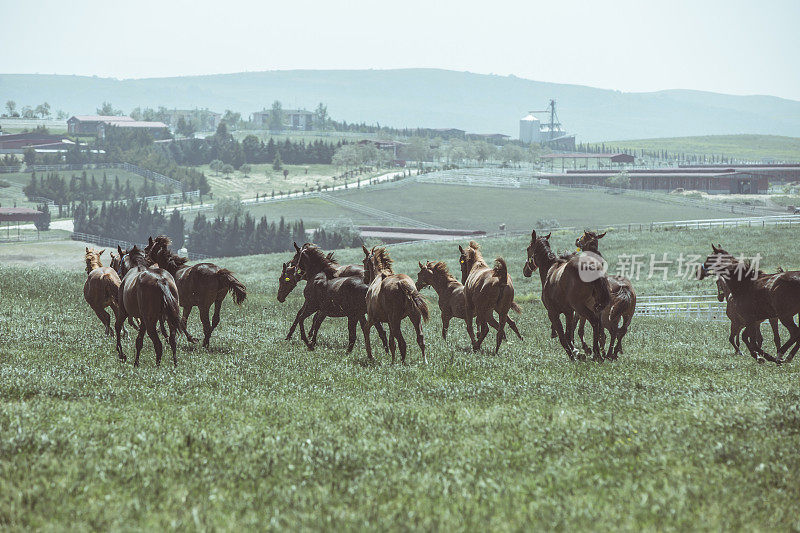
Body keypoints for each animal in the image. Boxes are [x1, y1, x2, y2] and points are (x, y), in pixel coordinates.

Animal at [520, 230, 608, 362]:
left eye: (528, 248)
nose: (526, 271)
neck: (550, 269)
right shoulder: (569, 312)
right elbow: (568, 334)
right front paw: (577, 352)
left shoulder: (553, 313)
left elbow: (562, 336)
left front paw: (574, 354)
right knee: (598, 325)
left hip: (581, 307)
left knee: (594, 322)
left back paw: (596, 353)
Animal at [576, 231, 636, 360]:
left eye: (583, 236)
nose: (577, 240)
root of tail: (624, 288)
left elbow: (595, 333)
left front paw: (593, 350)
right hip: (627, 315)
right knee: (621, 331)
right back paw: (614, 352)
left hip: (607, 317)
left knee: (613, 331)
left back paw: (608, 354)